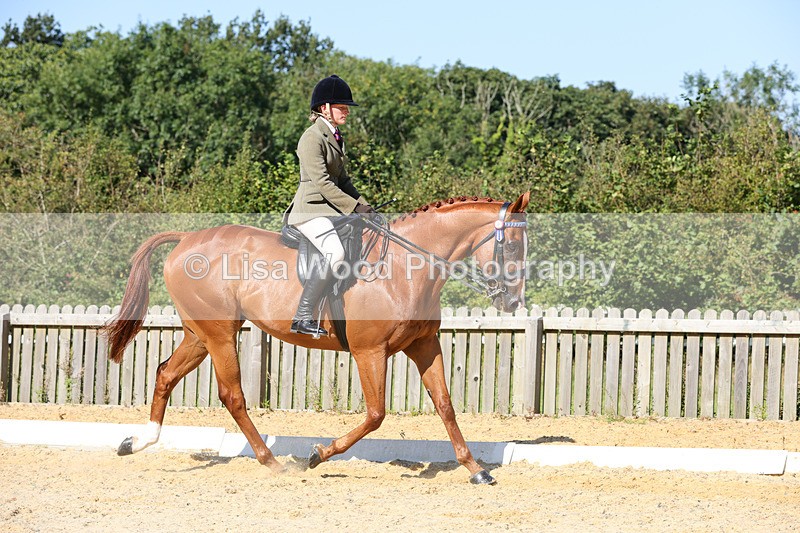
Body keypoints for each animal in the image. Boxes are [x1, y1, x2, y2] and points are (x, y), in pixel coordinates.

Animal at [103, 192, 530, 484]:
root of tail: (187, 238)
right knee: (233, 395)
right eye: (510, 245)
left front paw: (476, 470)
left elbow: (445, 405)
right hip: (220, 334)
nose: (512, 301)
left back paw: (136, 443)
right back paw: (272, 462)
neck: (405, 270)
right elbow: (376, 415)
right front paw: (319, 454)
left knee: (165, 374)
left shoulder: (423, 344)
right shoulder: (370, 351)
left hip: (199, 335)